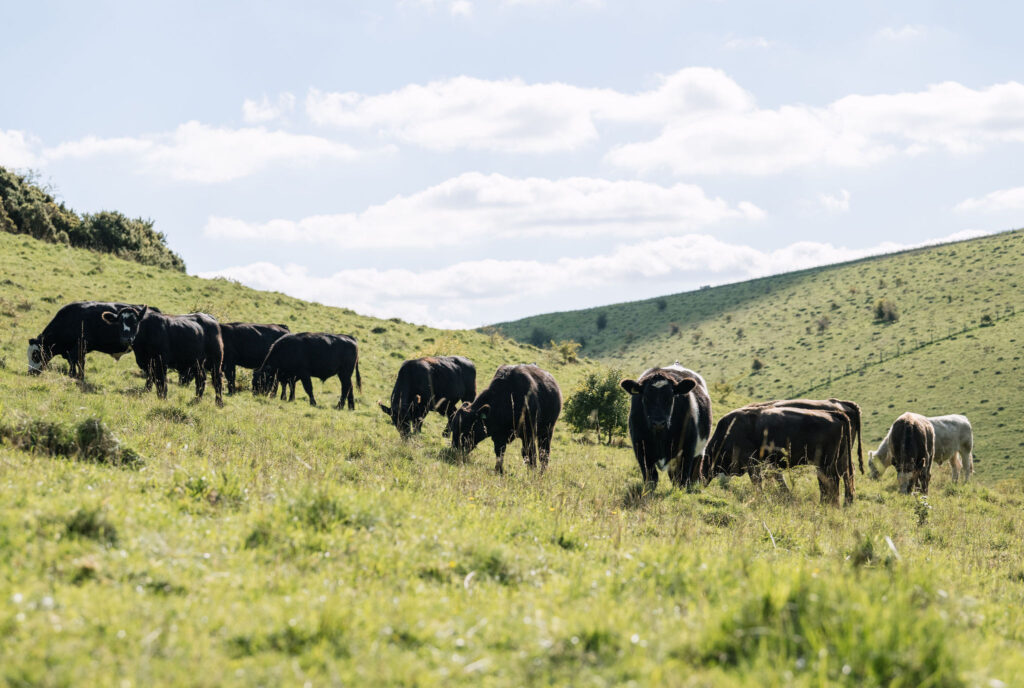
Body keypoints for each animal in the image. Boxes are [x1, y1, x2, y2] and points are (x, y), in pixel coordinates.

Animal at [27, 301, 157, 378]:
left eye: (35, 355)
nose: (30, 372)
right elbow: (77, 362)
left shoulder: (79, 347)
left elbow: (76, 362)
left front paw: (76, 377)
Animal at [704, 404, 856, 506]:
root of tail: (834, 413)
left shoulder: (751, 462)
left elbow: (757, 482)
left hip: (825, 464)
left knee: (831, 481)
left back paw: (828, 505)